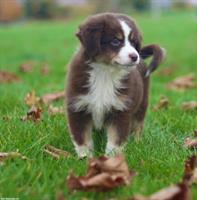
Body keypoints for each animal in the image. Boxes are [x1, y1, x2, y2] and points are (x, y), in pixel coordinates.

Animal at [65, 12, 165, 158]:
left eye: (133, 42)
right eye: (115, 41)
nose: (135, 56)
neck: (105, 72)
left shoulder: (120, 110)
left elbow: (115, 142)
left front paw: (111, 159)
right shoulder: (78, 107)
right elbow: (82, 139)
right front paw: (85, 158)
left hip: (142, 104)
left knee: (138, 126)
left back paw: (137, 143)